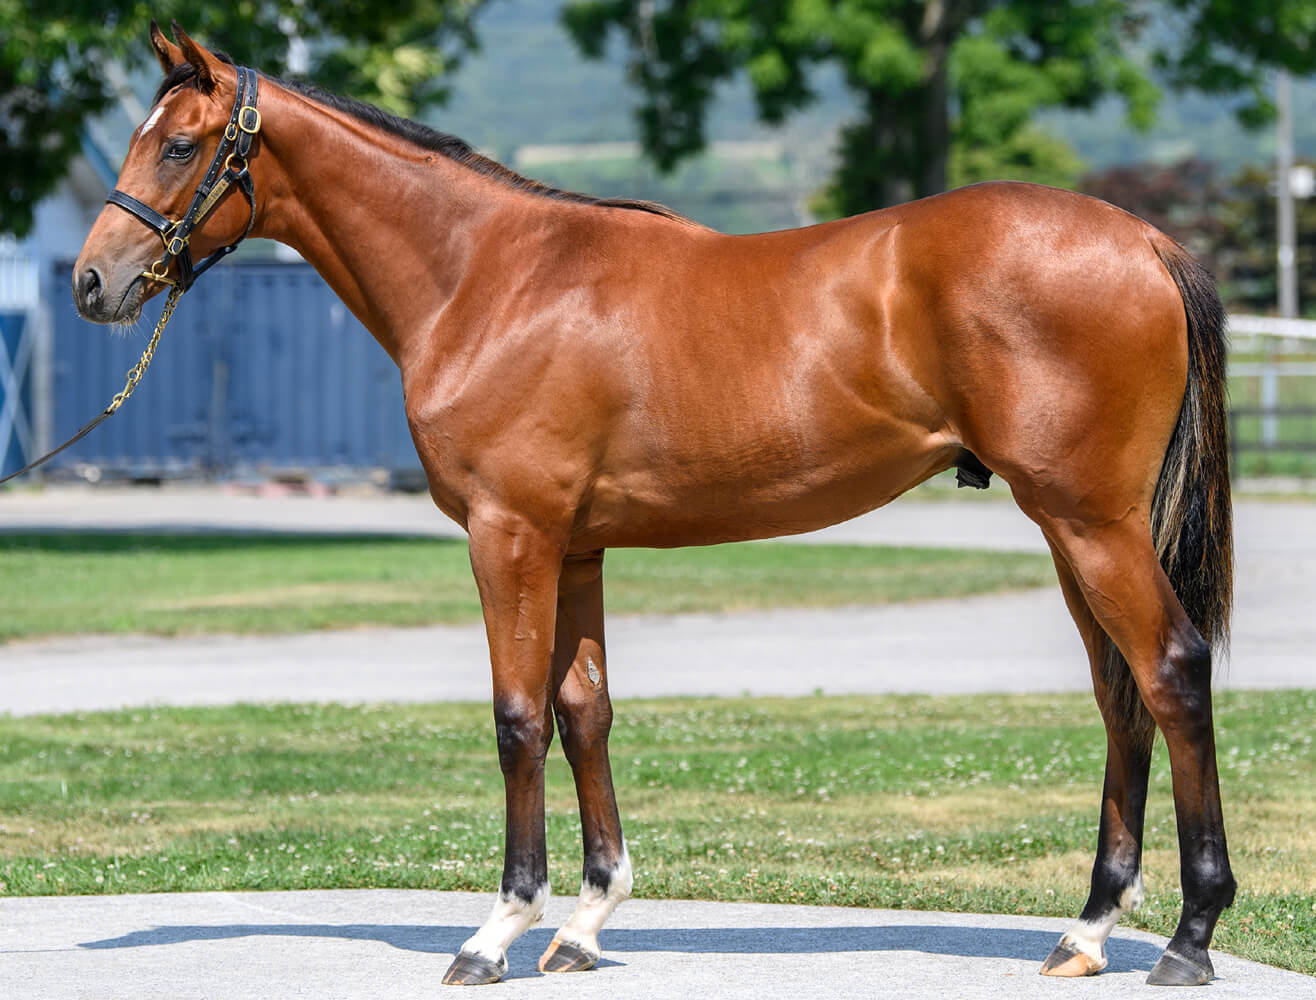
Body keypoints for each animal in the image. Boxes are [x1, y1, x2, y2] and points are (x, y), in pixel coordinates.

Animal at [72, 23, 1235, 988]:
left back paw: (1187, 937)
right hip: (1071, 529)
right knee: (1120, 694)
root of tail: (1145, 242)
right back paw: (1088, 930)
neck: (488, 278)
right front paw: (585, 924)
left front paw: (497, 930)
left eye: (179, 147)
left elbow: (517, 718)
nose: (92, 283)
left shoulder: (510, 535)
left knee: (1171, 672)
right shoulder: (575, 548)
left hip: (1090, 523)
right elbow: (585, 713)